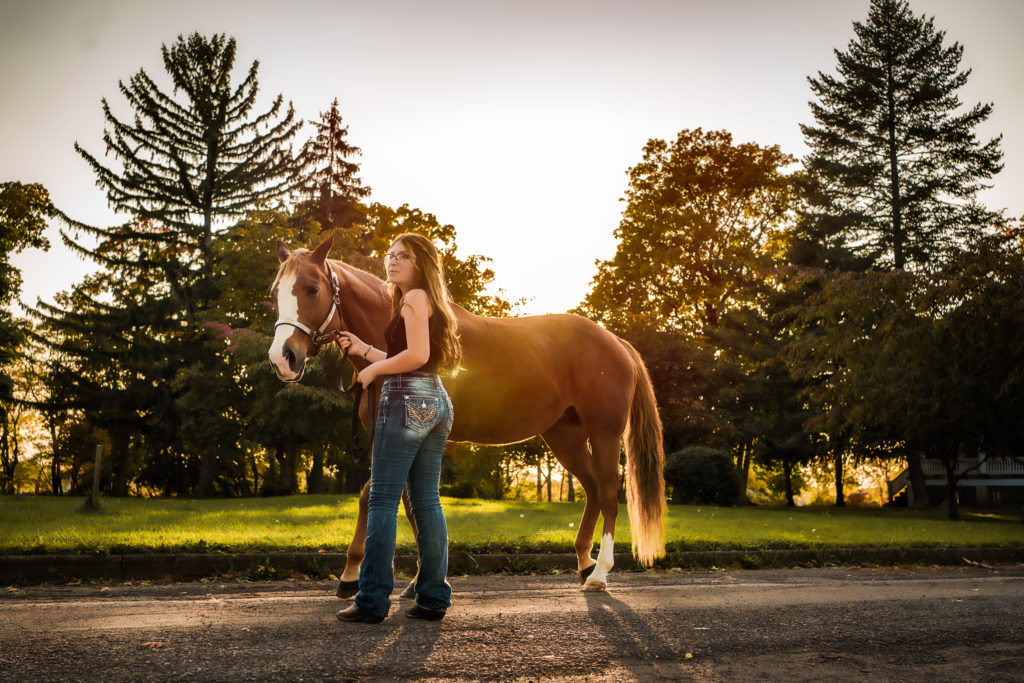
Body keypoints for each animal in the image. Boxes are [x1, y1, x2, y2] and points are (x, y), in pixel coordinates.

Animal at [266, 233, 663, 589]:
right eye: (274, 293)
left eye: (312, 289)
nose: (283, 358)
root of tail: (614, 340)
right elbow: (393, 499)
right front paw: (384, 576)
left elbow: (386, 498)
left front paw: (373, 576)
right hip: (565, 437)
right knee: (593, 489)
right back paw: (583, 561)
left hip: (605, 433)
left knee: (609, 492)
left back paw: (599, 574)